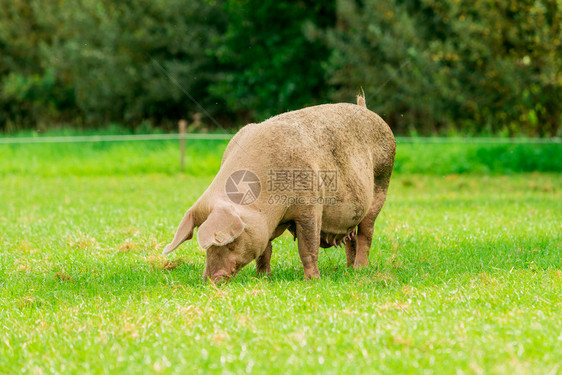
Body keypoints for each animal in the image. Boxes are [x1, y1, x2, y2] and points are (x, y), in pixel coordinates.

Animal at [160, 95, 392, 284]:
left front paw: (312, 281)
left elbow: (308, 246)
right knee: (351, 239)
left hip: (382, 182)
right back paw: (348, 270)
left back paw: (360, 269)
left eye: (229, 242)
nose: (210, 280)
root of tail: (367, 110)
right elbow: (266, 250)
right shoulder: (265, 224)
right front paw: (262, 278)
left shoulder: (310, 206)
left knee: (366, 233)